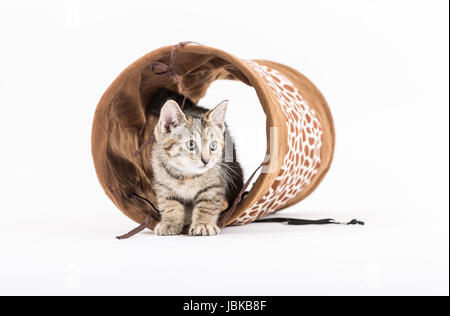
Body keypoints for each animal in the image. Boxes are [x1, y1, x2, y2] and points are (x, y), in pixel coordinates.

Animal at [149, 88, 243, 235]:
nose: (206, 160)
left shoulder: (214, 184)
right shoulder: (163, 183)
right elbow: (169, 203)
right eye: (191, 144)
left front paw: (203, 224)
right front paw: (170, 222)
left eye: (213, 145)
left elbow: (207, 204)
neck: (187, 175)